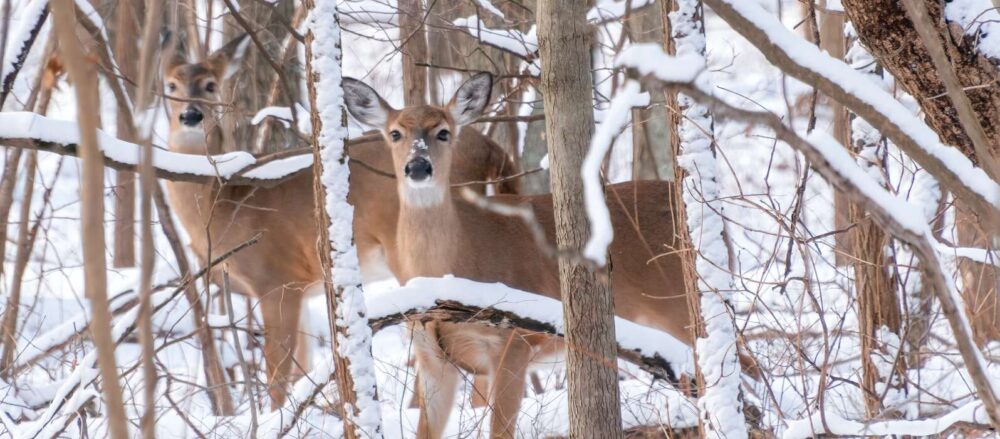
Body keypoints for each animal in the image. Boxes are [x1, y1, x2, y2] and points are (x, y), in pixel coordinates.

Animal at [161, 36, 521, 408]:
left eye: (210, 85)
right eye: (170, 85)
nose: (190, 115)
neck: (223, 201)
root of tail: (493, 149)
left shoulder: (275, 279)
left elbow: (278, 374)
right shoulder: (301, 290)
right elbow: (301, 366)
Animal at [343, 73, 759, 438]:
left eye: (443, 131)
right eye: (395, 133)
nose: (418, 166)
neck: (451, 267)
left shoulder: (514, 343)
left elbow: (501, 432)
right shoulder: (432, 360)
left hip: (682, 306)